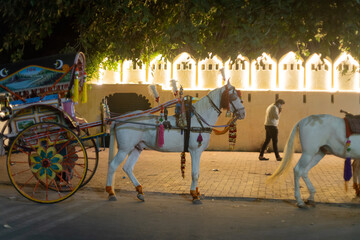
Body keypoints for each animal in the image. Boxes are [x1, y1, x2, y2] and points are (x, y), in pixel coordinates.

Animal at [104, 81, 245, 203]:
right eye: (233, 96)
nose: (243, 113)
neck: (197, 120)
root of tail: (120, 119)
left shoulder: (197, 152)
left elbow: (197, 173)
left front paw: (197, 192)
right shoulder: (195, 151)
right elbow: (195, 173)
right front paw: (194, 195)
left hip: (137, 148)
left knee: (127, 168)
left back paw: (139, 191)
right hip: (124, 149)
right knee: (112, 166)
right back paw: (111, 193)